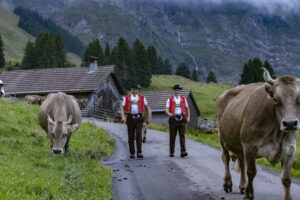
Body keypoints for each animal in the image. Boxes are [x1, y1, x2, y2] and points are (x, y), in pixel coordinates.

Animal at [219, 68, 298, 199]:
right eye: (275, 99)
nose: (290, 123)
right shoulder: (249, 145)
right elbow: (251, 172)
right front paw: (249, 194)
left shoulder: (290, 149)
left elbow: (286, 179)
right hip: (222, 138)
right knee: (226, 158)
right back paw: (228, 183)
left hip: (240, 145)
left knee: (241, 161)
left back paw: (242, 186)